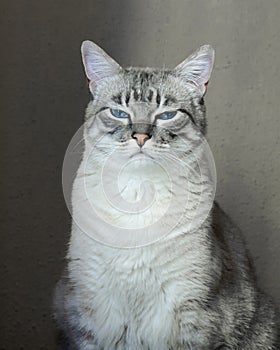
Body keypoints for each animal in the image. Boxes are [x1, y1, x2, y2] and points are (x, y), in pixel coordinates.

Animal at [53, 39, 278, 348]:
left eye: (167, 115)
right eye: (119, 113)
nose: (140, 137)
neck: (138, 200)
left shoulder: (193, 319)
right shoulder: (88, 316)